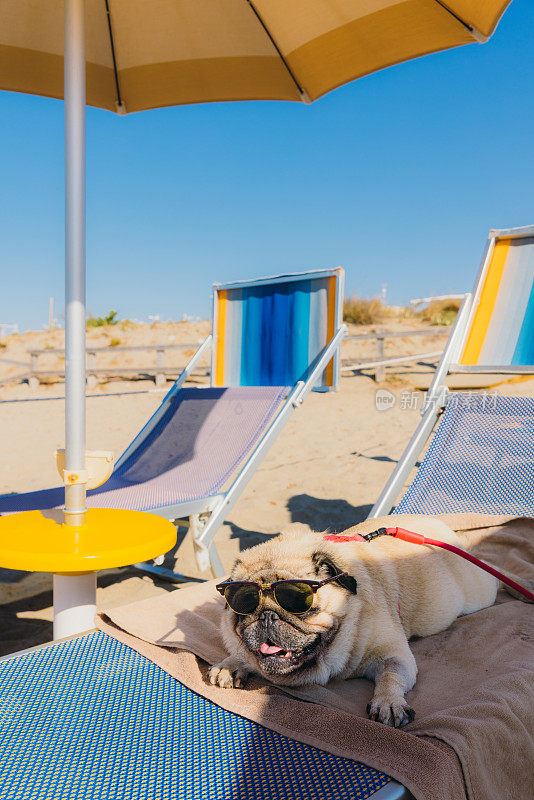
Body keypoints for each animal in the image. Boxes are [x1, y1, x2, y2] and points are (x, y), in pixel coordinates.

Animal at [207, 516, 500, 728]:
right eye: (244, 606)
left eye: (300, 605)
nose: (267, 616)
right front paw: (232, 664)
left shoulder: (393, 654)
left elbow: (391, 675)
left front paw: (388, 702)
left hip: (479, 592)